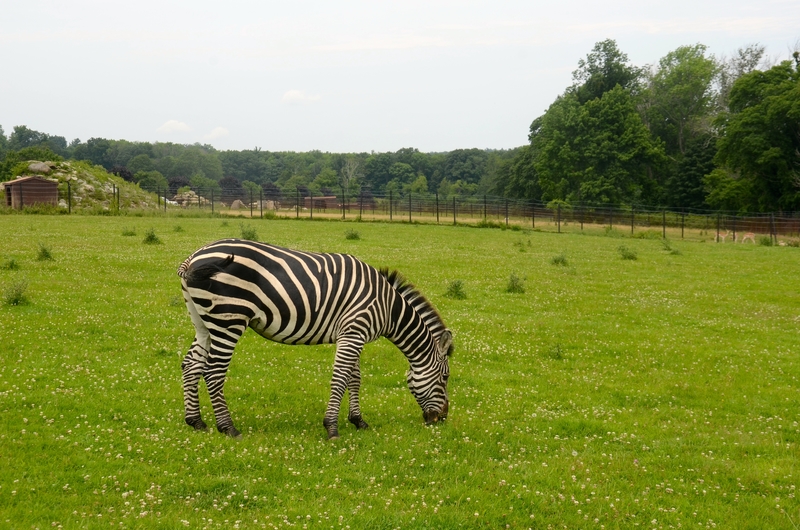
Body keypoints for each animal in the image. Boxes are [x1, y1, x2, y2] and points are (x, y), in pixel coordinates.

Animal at [177, 238, 452, 439]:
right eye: (446, 377)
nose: (442, 418)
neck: (387, 307)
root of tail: (193, 257)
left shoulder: (353, 334)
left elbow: (354, 378)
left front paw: (358, 420)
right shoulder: (354, 332)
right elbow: (340, 379)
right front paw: (332, 428)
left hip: (204, 322)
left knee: (191, 365)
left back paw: (196, 421)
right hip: (229, 319)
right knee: (213, 371)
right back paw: (228, 427)